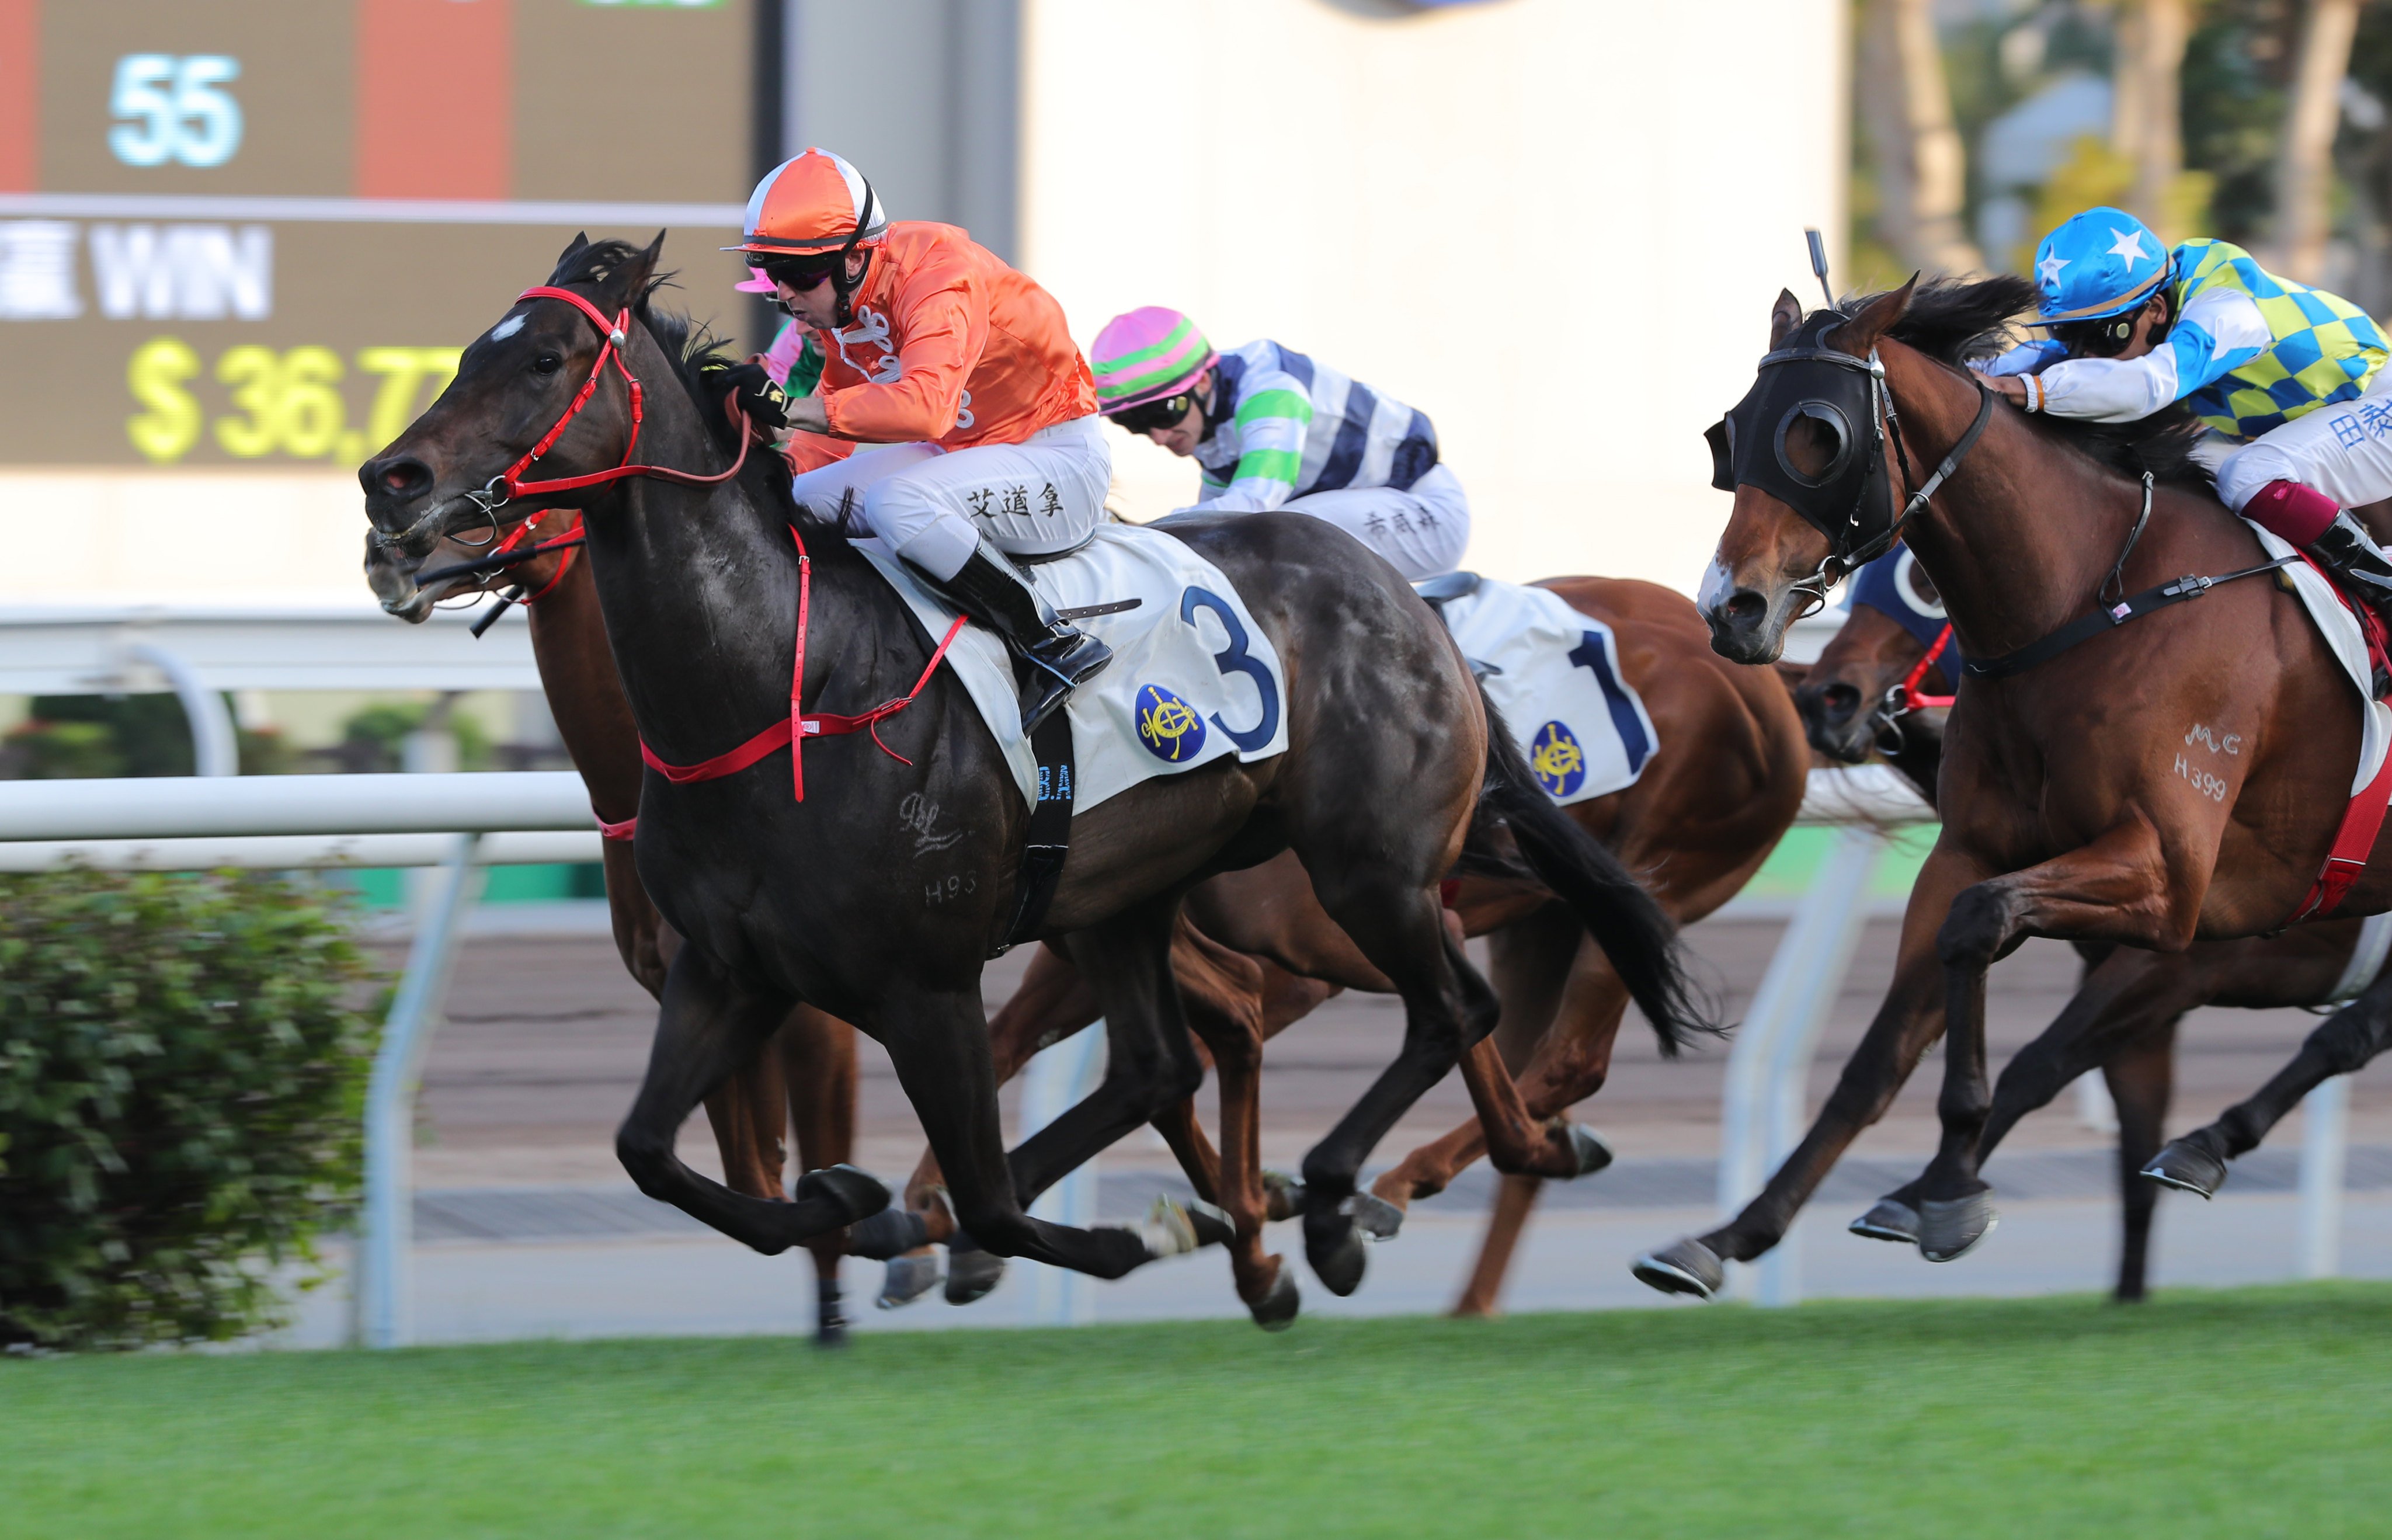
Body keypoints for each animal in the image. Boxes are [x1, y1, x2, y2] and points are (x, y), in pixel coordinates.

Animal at [1799, 552, 2382, 1301]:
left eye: (1924, 588)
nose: (1826, 697)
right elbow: (2129, 1148)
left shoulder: (2175, 958)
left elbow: (2038, 1064)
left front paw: (1926, 1194)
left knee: (2347, 1035)